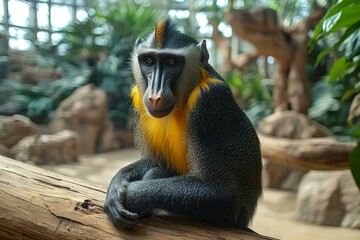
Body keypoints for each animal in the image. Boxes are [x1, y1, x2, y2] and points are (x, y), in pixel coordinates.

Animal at [104, 17, 262, 230]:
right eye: (149, 61)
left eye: (171, 62)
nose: (154, 96)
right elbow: (155, 161)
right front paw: (117, 181)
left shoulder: (209, 101)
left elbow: (221, 193)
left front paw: (131, 196)